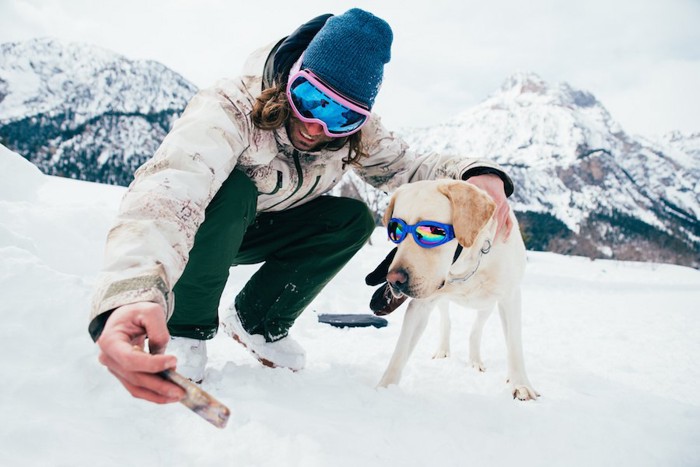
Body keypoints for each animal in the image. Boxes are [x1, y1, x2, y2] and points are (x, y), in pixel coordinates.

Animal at [378, 180, 536, 402]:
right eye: (396, 231)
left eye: (432, 231)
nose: (394, 280)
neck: (465, 267)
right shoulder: (420, 306)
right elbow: (400, 351)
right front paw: (384, 388)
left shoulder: (510, 297)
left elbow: (514, 346)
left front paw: (520, 384)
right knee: (447, 321)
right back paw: (443, 350)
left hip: (487, 304)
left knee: (476, 330)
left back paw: (476, 360)